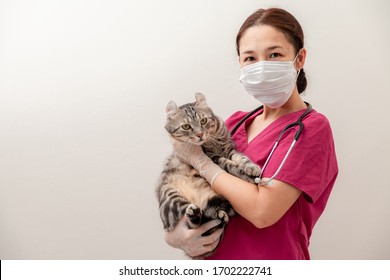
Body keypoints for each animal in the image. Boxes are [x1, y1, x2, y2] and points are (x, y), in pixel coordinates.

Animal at [155, 93, 258, 260]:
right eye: (186, 126)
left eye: (203, 121)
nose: (199, 134)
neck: (214, 139)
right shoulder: (213, 158)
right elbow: (230, 165)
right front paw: (246, 174)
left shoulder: (229, 149)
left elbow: (240, 158)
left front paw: (251, 167)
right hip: (171, 198)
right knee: (193, 224)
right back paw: (195, 214)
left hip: (220, 200)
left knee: (209, 217)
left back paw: (219, 216)